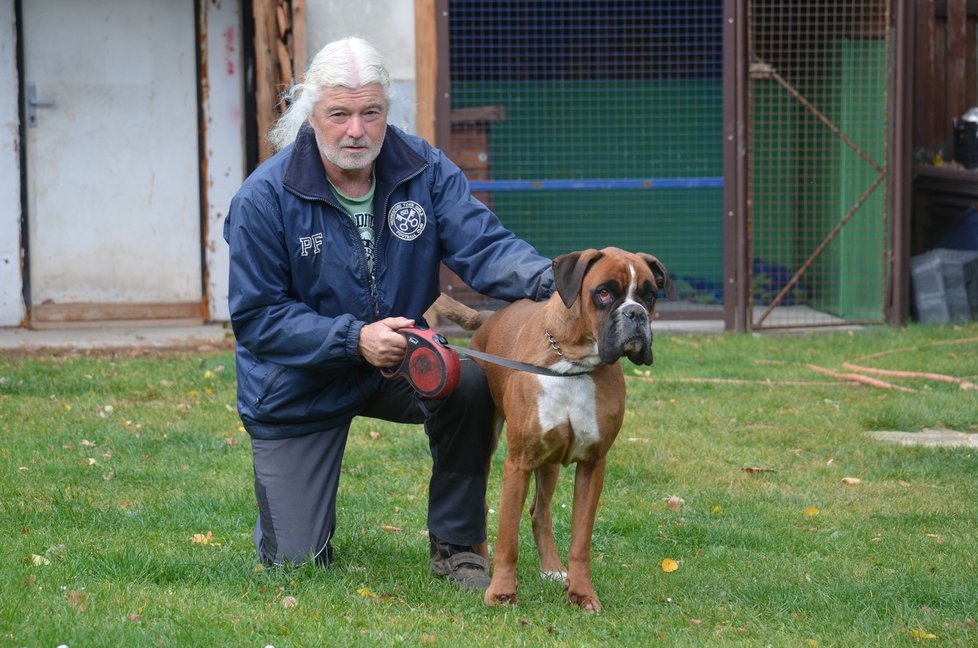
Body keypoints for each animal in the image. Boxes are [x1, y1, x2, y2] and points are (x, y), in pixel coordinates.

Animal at [432, 246, 672, 612]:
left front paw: (582, 593)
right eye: (604, 293)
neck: (573, 364)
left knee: (539, 512)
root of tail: (489, 318)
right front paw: (501, 592)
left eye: (649, 296)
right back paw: (480, 563)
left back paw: (552, 568)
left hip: (549, 462)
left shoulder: (592, 465)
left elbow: (581, 541)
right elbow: (508, 539)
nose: (636, 314)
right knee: (483, 510)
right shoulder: (518, 463)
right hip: (490, 448)